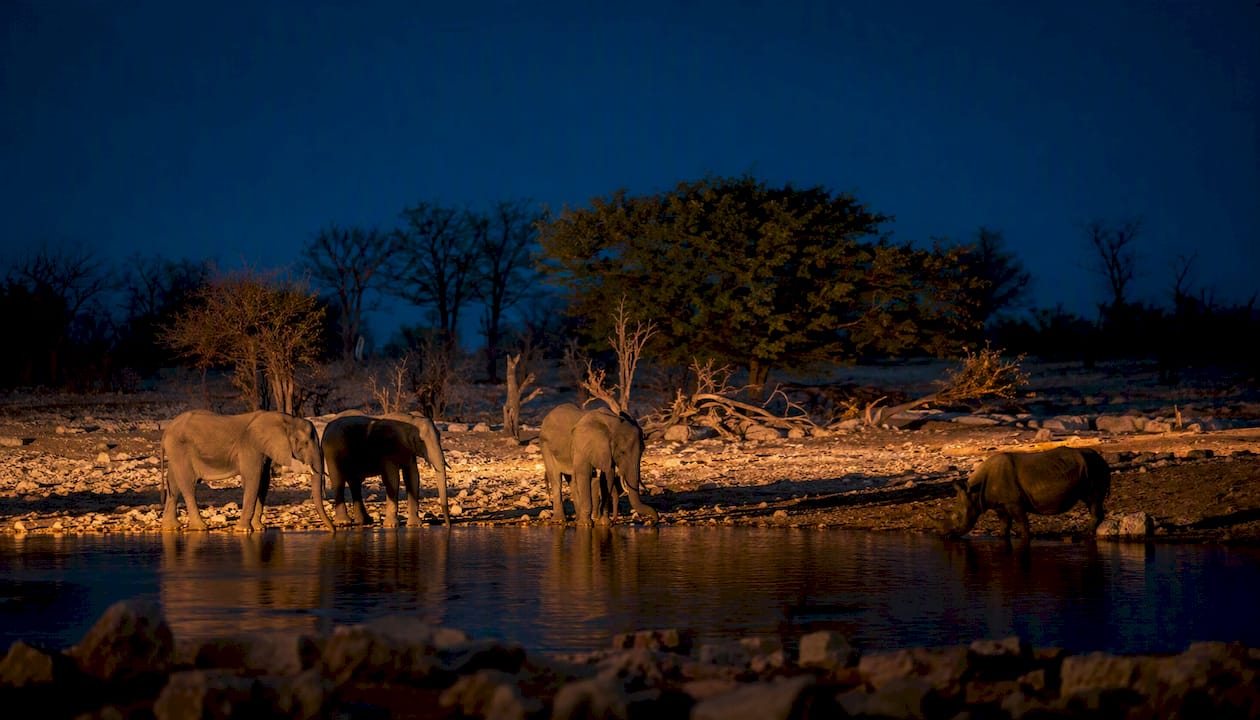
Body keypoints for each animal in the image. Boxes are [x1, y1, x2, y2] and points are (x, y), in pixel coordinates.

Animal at [160, 410, 332, 532]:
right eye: (304, 443)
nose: (333, 530)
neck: (285, 418)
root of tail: (166, 431)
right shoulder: (250, 446)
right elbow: (253, 479)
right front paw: (244, 530)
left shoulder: (264, 449)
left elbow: (263, 481)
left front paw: (259, 529)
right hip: (179, 448)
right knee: (187, 484)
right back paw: (200, 528)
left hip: (175, 451)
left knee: (173, 484)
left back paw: (171, 527)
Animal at [320, 410, 450, 527]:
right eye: (421, 440)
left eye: (439, 436)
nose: (447, 526)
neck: (411, 418)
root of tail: (327, 426)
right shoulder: (388, 450)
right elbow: (392, 479)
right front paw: (391, 525)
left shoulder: (408, 451)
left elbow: (413, 477)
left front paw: (414, 525)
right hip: (332, 449)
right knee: (338, 480)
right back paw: (343, 522)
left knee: (354, 482)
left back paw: (365, 521)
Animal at [938, 446, 1111, 547]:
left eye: (957, 517)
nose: (944, 535)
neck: (974, 492)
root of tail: (1103, 459)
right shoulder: (1001, 505)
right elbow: (1004, 525)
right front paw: (1002, 537)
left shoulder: (1014, 503)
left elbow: (1023, 523)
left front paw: (1026, 538)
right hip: (1090, 468)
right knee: (1090, 500)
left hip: (1094, 469)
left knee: (1093, 499)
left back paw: (1084, 535)